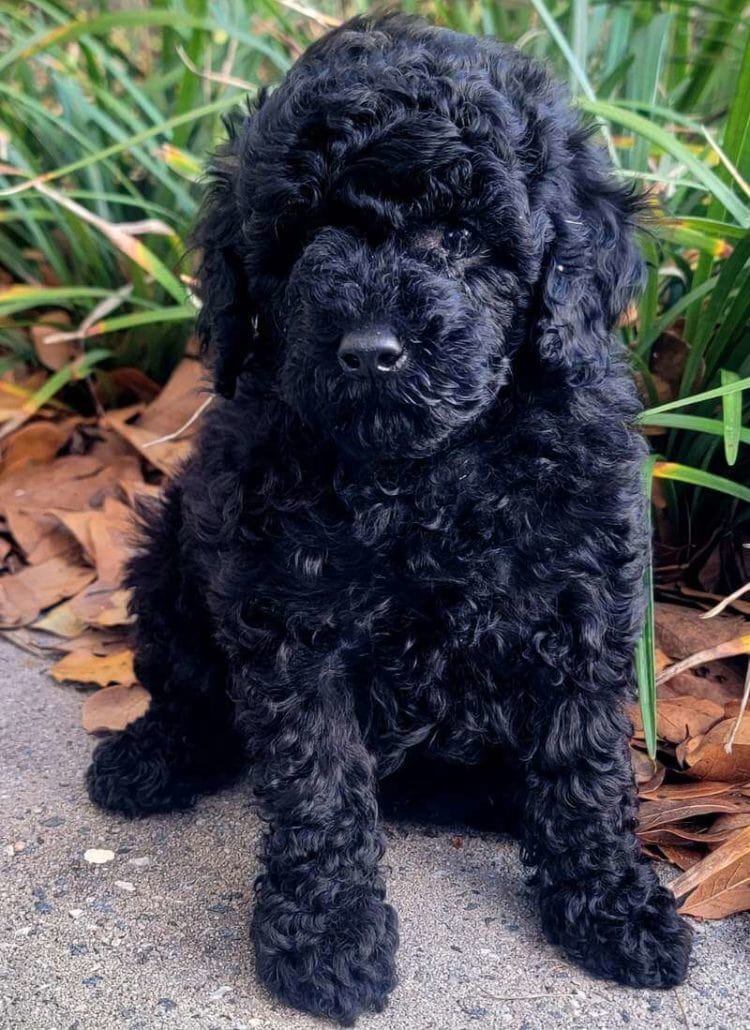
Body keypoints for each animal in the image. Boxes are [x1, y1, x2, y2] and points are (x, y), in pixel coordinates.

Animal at [86, 12, 692, 1025]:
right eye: (303, 238)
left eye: (461, 233)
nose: (370, 349)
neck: (426, 474)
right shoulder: (290, 613)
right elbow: (319, 781)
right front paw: (328, 938)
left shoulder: (579, 596)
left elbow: (586, 765)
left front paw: (613, 908)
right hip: (171, 551)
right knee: (187, 687)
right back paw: (151, 757)